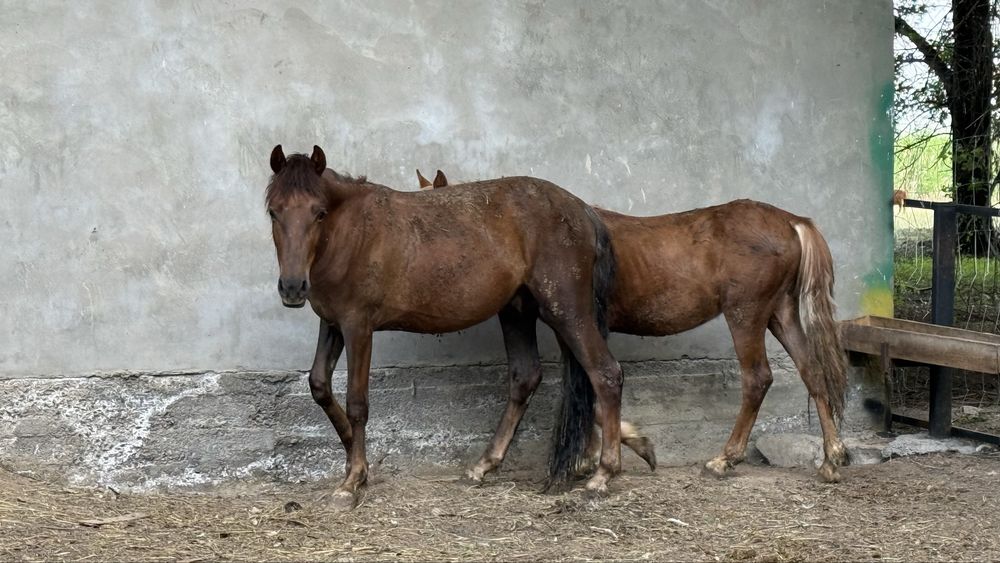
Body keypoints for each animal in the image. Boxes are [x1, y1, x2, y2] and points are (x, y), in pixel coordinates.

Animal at [263, 145, 625, 509]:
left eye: (319, 213)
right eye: (273, 213)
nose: (292, 288)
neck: (352, 233)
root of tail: (583, 211)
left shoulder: (357, 327)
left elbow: (357, 403)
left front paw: (351, 481)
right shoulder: (333, 323)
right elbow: (319, 385)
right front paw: (357, 460)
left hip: (567, 312)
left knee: (605, 373)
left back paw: (602, 475)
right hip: (517, 311)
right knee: (526, 378)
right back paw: (482, 467)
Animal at [421, 172, 849, 482]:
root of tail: (791, 222)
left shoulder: (571, 323)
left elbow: (594, 386)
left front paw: (611, 454)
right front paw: (599, 456)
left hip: (746, 313)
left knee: (757, 378)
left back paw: (724, 459)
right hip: (780, 312)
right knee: (812, 372)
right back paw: (832, 458)